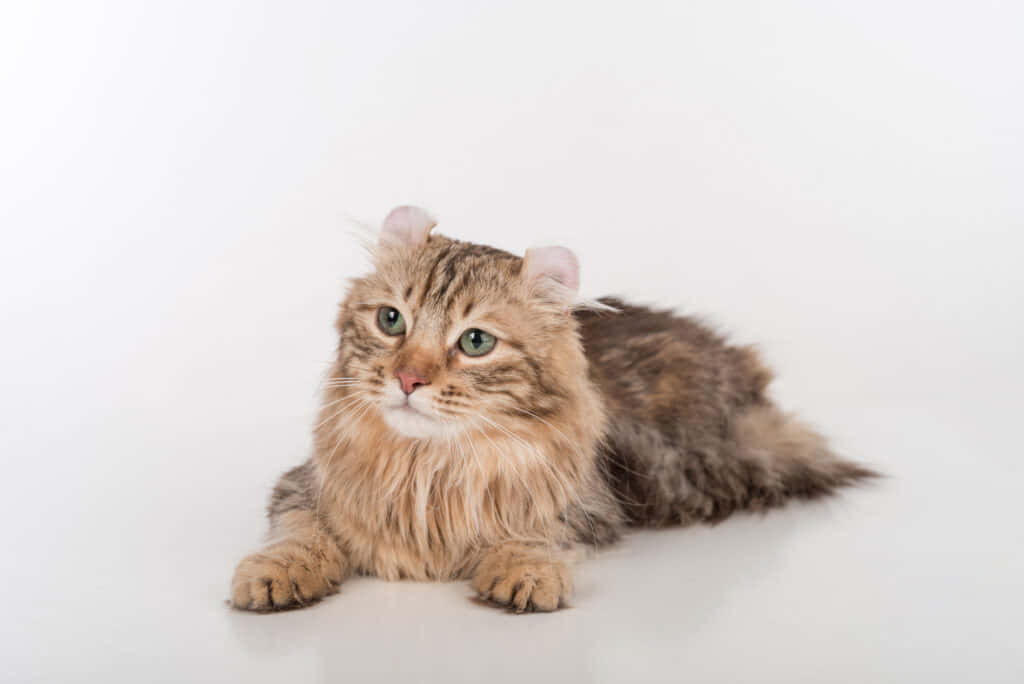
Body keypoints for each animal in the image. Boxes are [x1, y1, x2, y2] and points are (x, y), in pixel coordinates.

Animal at [228, 205, 876, 610]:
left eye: (475, 342)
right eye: (391, 321)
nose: (408, 379)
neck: (427, 466)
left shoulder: (594, 504)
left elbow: (537, 533)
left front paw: (523, 572)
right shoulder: (302, 484)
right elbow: (299, 530)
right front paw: (275, 572)